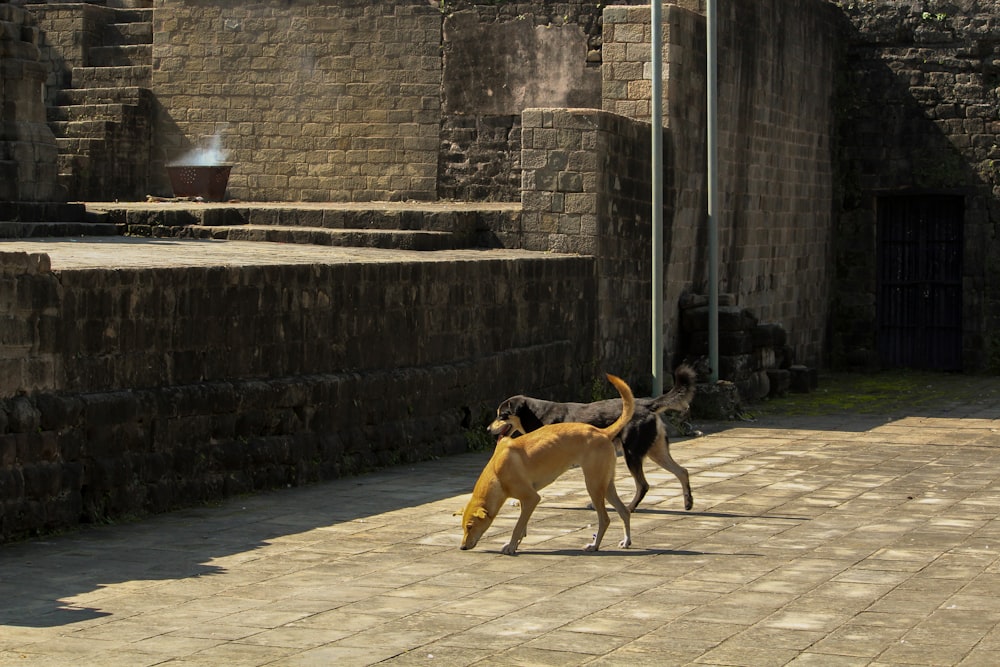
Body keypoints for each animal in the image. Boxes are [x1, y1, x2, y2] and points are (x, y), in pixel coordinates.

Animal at [458, 374, 632, 556]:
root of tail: (602, 432)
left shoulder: (532, 498)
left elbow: (517, 527)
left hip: (593, 485)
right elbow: (522, 526)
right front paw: (516, 543)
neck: (496, 472)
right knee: (624, 511)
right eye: (463, 526)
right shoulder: (526, 500)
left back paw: (594, 545)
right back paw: (626, 541)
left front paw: (512, 546)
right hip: (606, 485)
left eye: (470, 526)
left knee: (605, 519)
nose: (462, 547)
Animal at [490, 366, 696, 512]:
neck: (537, 414)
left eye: (502, 415)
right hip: (656, 451)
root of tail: (647, 403)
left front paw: (519, 502)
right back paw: (688, 502)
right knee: (682, 471)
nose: (487, 429)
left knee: (643, 485)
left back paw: (629, 508)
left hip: (632, 453)